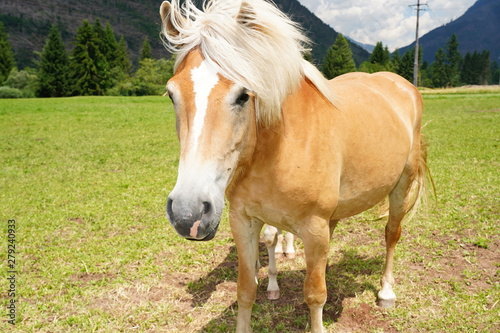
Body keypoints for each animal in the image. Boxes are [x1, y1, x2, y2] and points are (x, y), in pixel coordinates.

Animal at [160, 1, 430, 330]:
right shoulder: (243, 221)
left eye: (243, 95)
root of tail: (402, 85)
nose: (188, 214)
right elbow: (246, 289)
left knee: (391, 233)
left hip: (402, 185)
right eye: (172, 94)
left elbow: (314, 294)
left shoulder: (314, 228)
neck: (277, 150)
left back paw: (387, 292)